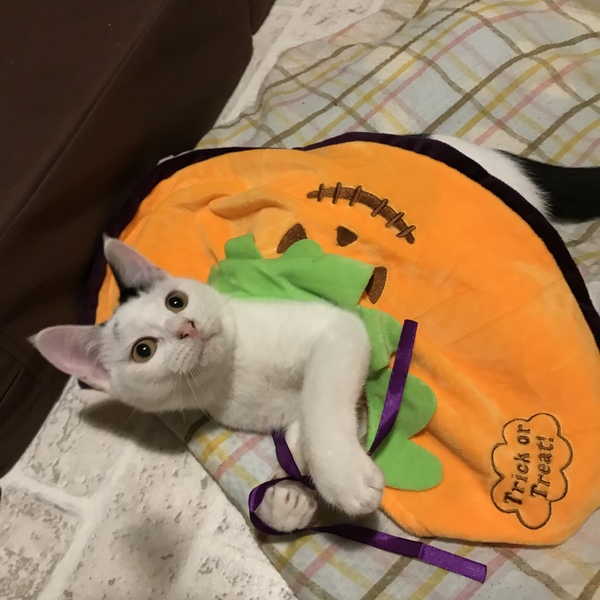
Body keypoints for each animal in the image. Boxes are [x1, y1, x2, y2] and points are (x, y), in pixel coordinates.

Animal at [29, 137, 600, 533]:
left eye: (175, 301)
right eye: (143, 351)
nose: (186, 327)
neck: (235, 375)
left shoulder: (337, 330)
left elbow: (324, 409)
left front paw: (341, 479)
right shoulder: (283, 412)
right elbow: (307, 433)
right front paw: (289, 502)